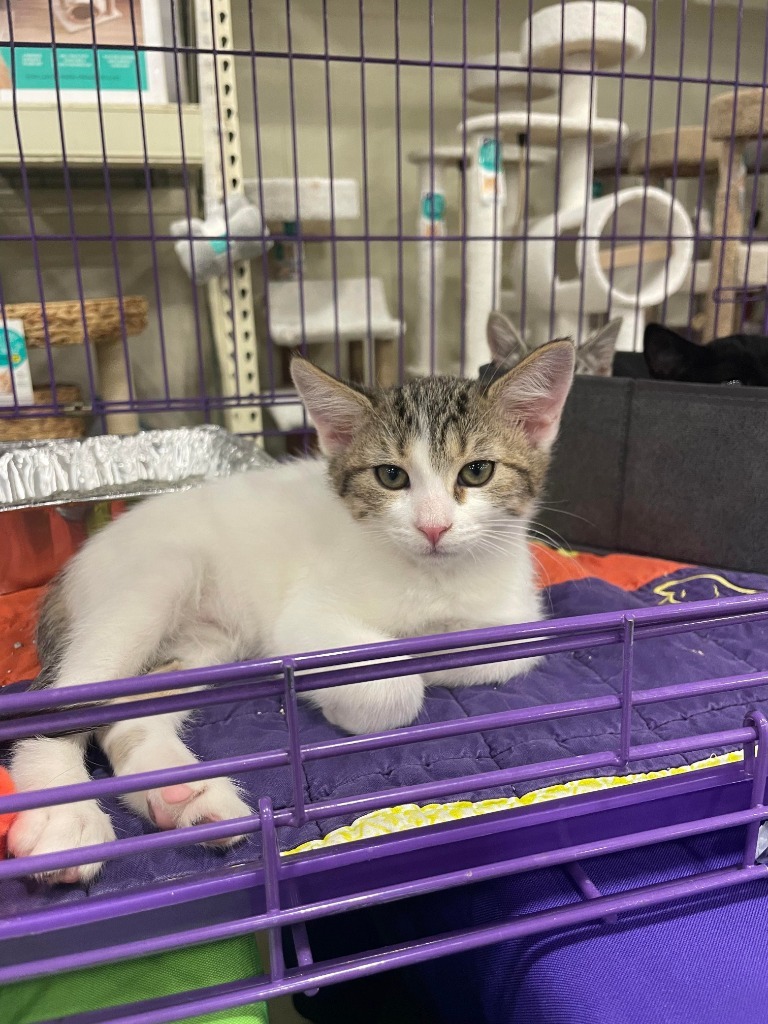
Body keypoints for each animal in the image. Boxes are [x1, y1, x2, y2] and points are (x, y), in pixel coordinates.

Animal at [6, 325, 573, 880]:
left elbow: (497, 653)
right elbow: (391, 684)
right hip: (149, 585)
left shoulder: (518, 618)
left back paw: (183, 797)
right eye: (391, 476)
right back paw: (65, 818)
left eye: (477, 471)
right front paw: (354, 690)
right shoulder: (304, 619)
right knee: (60, 703)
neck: (433, 577)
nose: (433, 527)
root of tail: (76, 564)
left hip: (205, 643)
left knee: (126, 711)